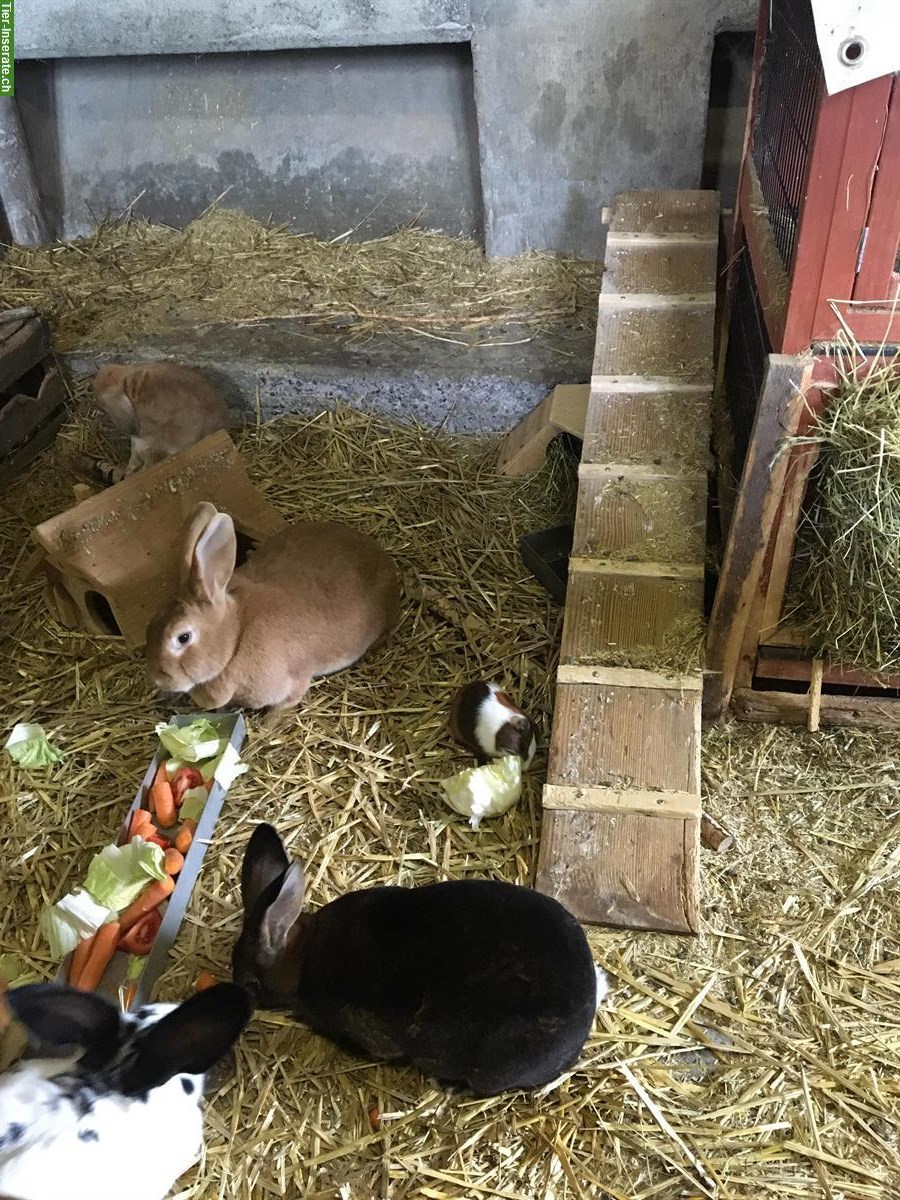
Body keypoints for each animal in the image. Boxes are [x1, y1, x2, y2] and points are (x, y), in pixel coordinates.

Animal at [145, 502, 401, 710]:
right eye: (149, 627)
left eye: (183, 637)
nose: (157, 679)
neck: (236, 634)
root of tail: (382, 558)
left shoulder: (294, 681)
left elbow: (286, 704)